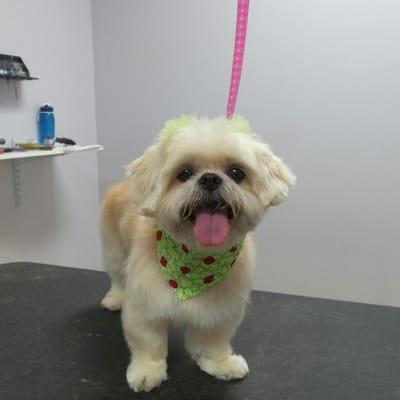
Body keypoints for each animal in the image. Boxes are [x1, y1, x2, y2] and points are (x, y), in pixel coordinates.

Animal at [100, 115, 294, 390]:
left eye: (237, 172)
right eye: (184, 173)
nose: (210, 178)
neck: (197, 259)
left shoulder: (220, 311)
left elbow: (211, 343)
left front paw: (221, 364)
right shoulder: (144, 306)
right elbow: (148, 344)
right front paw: (147, 372)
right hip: (114, 251)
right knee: (117, 277)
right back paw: (115, 298)